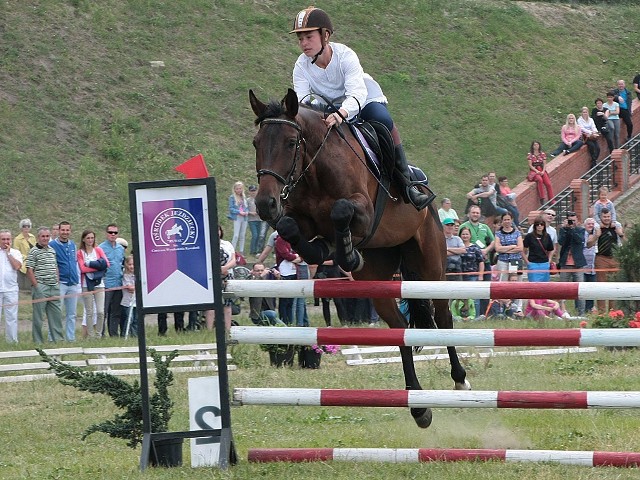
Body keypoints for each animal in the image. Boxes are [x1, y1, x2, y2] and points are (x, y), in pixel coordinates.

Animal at [250, 88, 470, 426]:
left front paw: (347, 254)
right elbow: (289, 227)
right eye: (256, 143)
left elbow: (341, 211)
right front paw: (329, 251)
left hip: (431, 265)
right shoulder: (298, 219)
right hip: (379, 280)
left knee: (444, 317)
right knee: (399, 329)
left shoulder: (364, 211)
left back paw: (459, 380)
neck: (315, 169)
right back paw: (418, 406)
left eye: (290, 142)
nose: (265, 204)